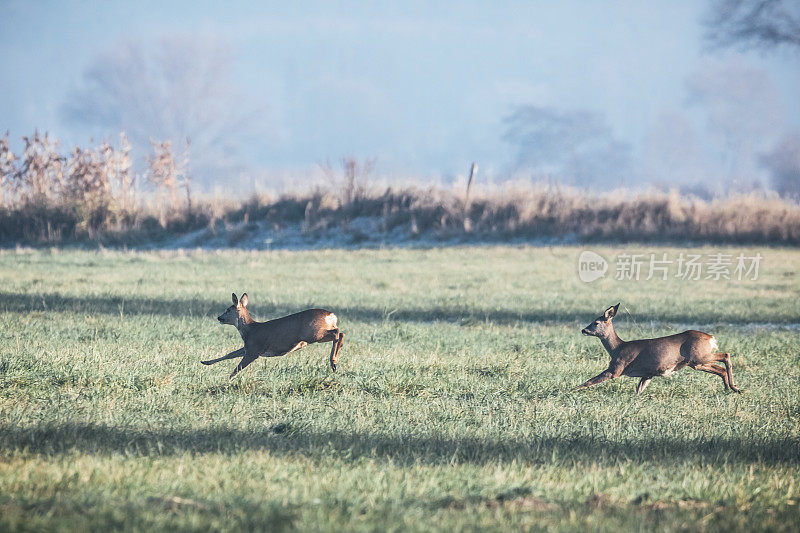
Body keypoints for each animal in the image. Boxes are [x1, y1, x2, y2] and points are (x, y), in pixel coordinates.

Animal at [200, 290, 344, 378]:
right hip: (315, 336)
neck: (250, 330)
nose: (219, 318)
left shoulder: (254, 350)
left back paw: (333, 362)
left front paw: (228, 380)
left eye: (228, 310)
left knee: (337, 332)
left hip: (313, 333)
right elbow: (229, 354)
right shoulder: (248, 347)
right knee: (340, 333)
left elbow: (237, 368)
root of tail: (332, 315)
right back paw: (335, 362)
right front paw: (205, 362)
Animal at [576, 302, 744, 392]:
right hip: (697, 363)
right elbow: (639, 390)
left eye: (596, 322)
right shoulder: (648, 373)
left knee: (726, 355)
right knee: (720, 369)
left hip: (699, 356)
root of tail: (711, 338)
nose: (583, 330)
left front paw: (571, 391)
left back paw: (734, 387)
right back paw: (730, 388)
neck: (617, 348)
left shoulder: (616, 369)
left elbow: (589, 381)